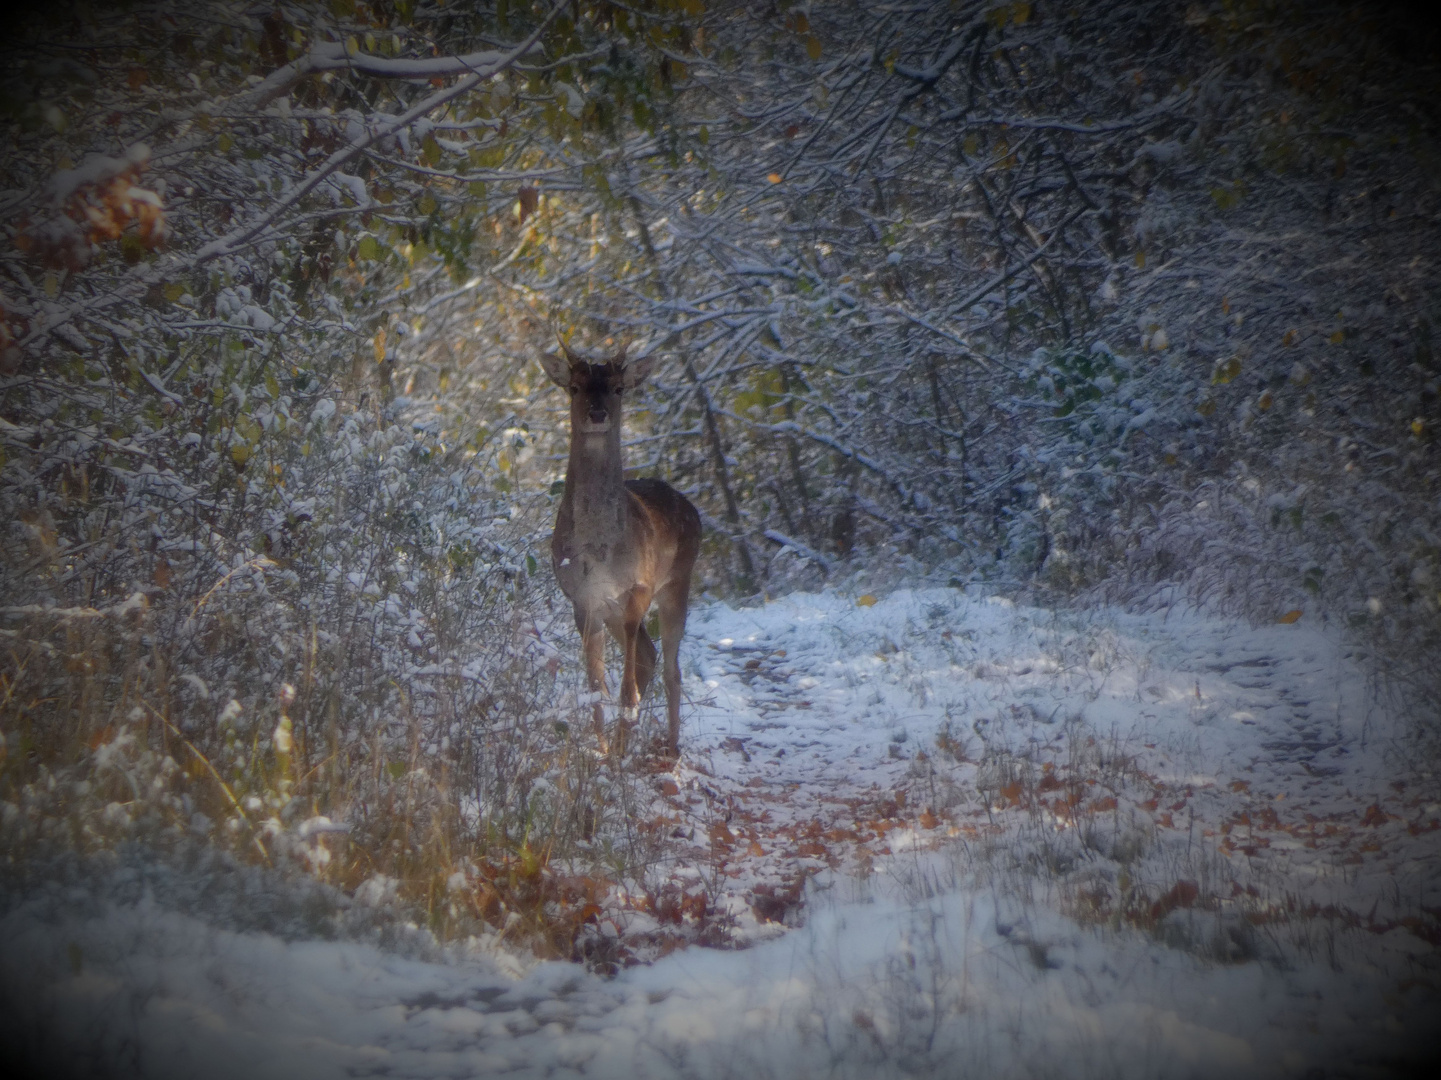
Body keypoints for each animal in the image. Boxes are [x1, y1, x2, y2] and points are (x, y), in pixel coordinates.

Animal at [538, 341, 700, 755]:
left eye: (618, 388)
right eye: (574, 388)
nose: (598, 414)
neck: (599, 549)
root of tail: (693, 509)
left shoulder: (637, 588)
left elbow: (627, 691)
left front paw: (621, 737)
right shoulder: (583, 599)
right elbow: (596, 687)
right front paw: (602, 751)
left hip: (678, 582)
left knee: (671, 667)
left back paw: (670, 746)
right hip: (614, 610)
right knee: (649, 654)